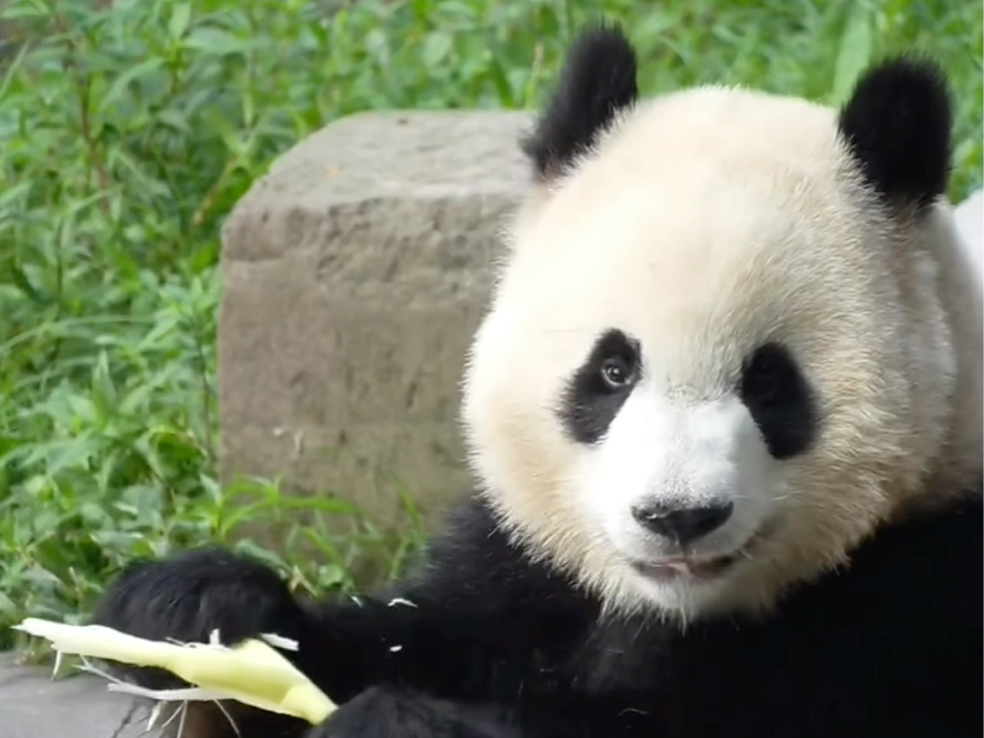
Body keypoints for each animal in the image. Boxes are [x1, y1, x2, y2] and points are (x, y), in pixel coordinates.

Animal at [88, 23, 980, 736]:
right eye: (612, 369)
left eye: (769, 385)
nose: (678, 517)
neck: (674, 609)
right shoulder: (524, 567)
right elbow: (410, 633)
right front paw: (191, 608)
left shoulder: (917, 603)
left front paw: (403, 722)